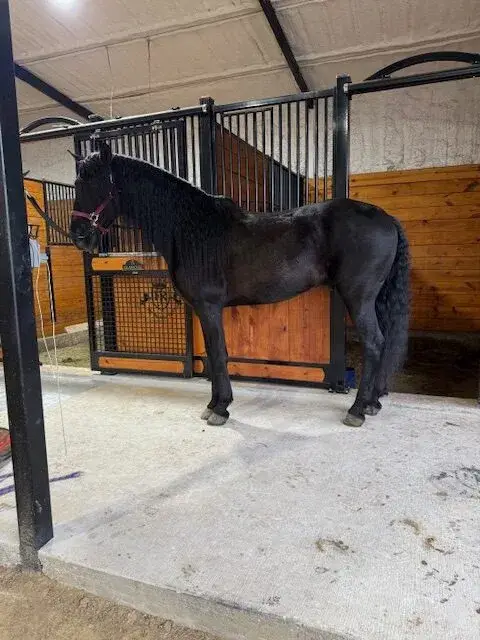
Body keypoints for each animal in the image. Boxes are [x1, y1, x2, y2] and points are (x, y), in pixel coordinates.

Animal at [70, 141, 409, 428]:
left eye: (97, 184)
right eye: (76, 184)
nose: (78, 236)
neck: (191, 229)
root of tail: (385, 218)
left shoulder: (208, 306)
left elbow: (218, 353)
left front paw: (220, 409)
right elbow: (212, 354)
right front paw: (215, 404)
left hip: (358, 298)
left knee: (374, 343)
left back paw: (357, 410)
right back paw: (372, 403)